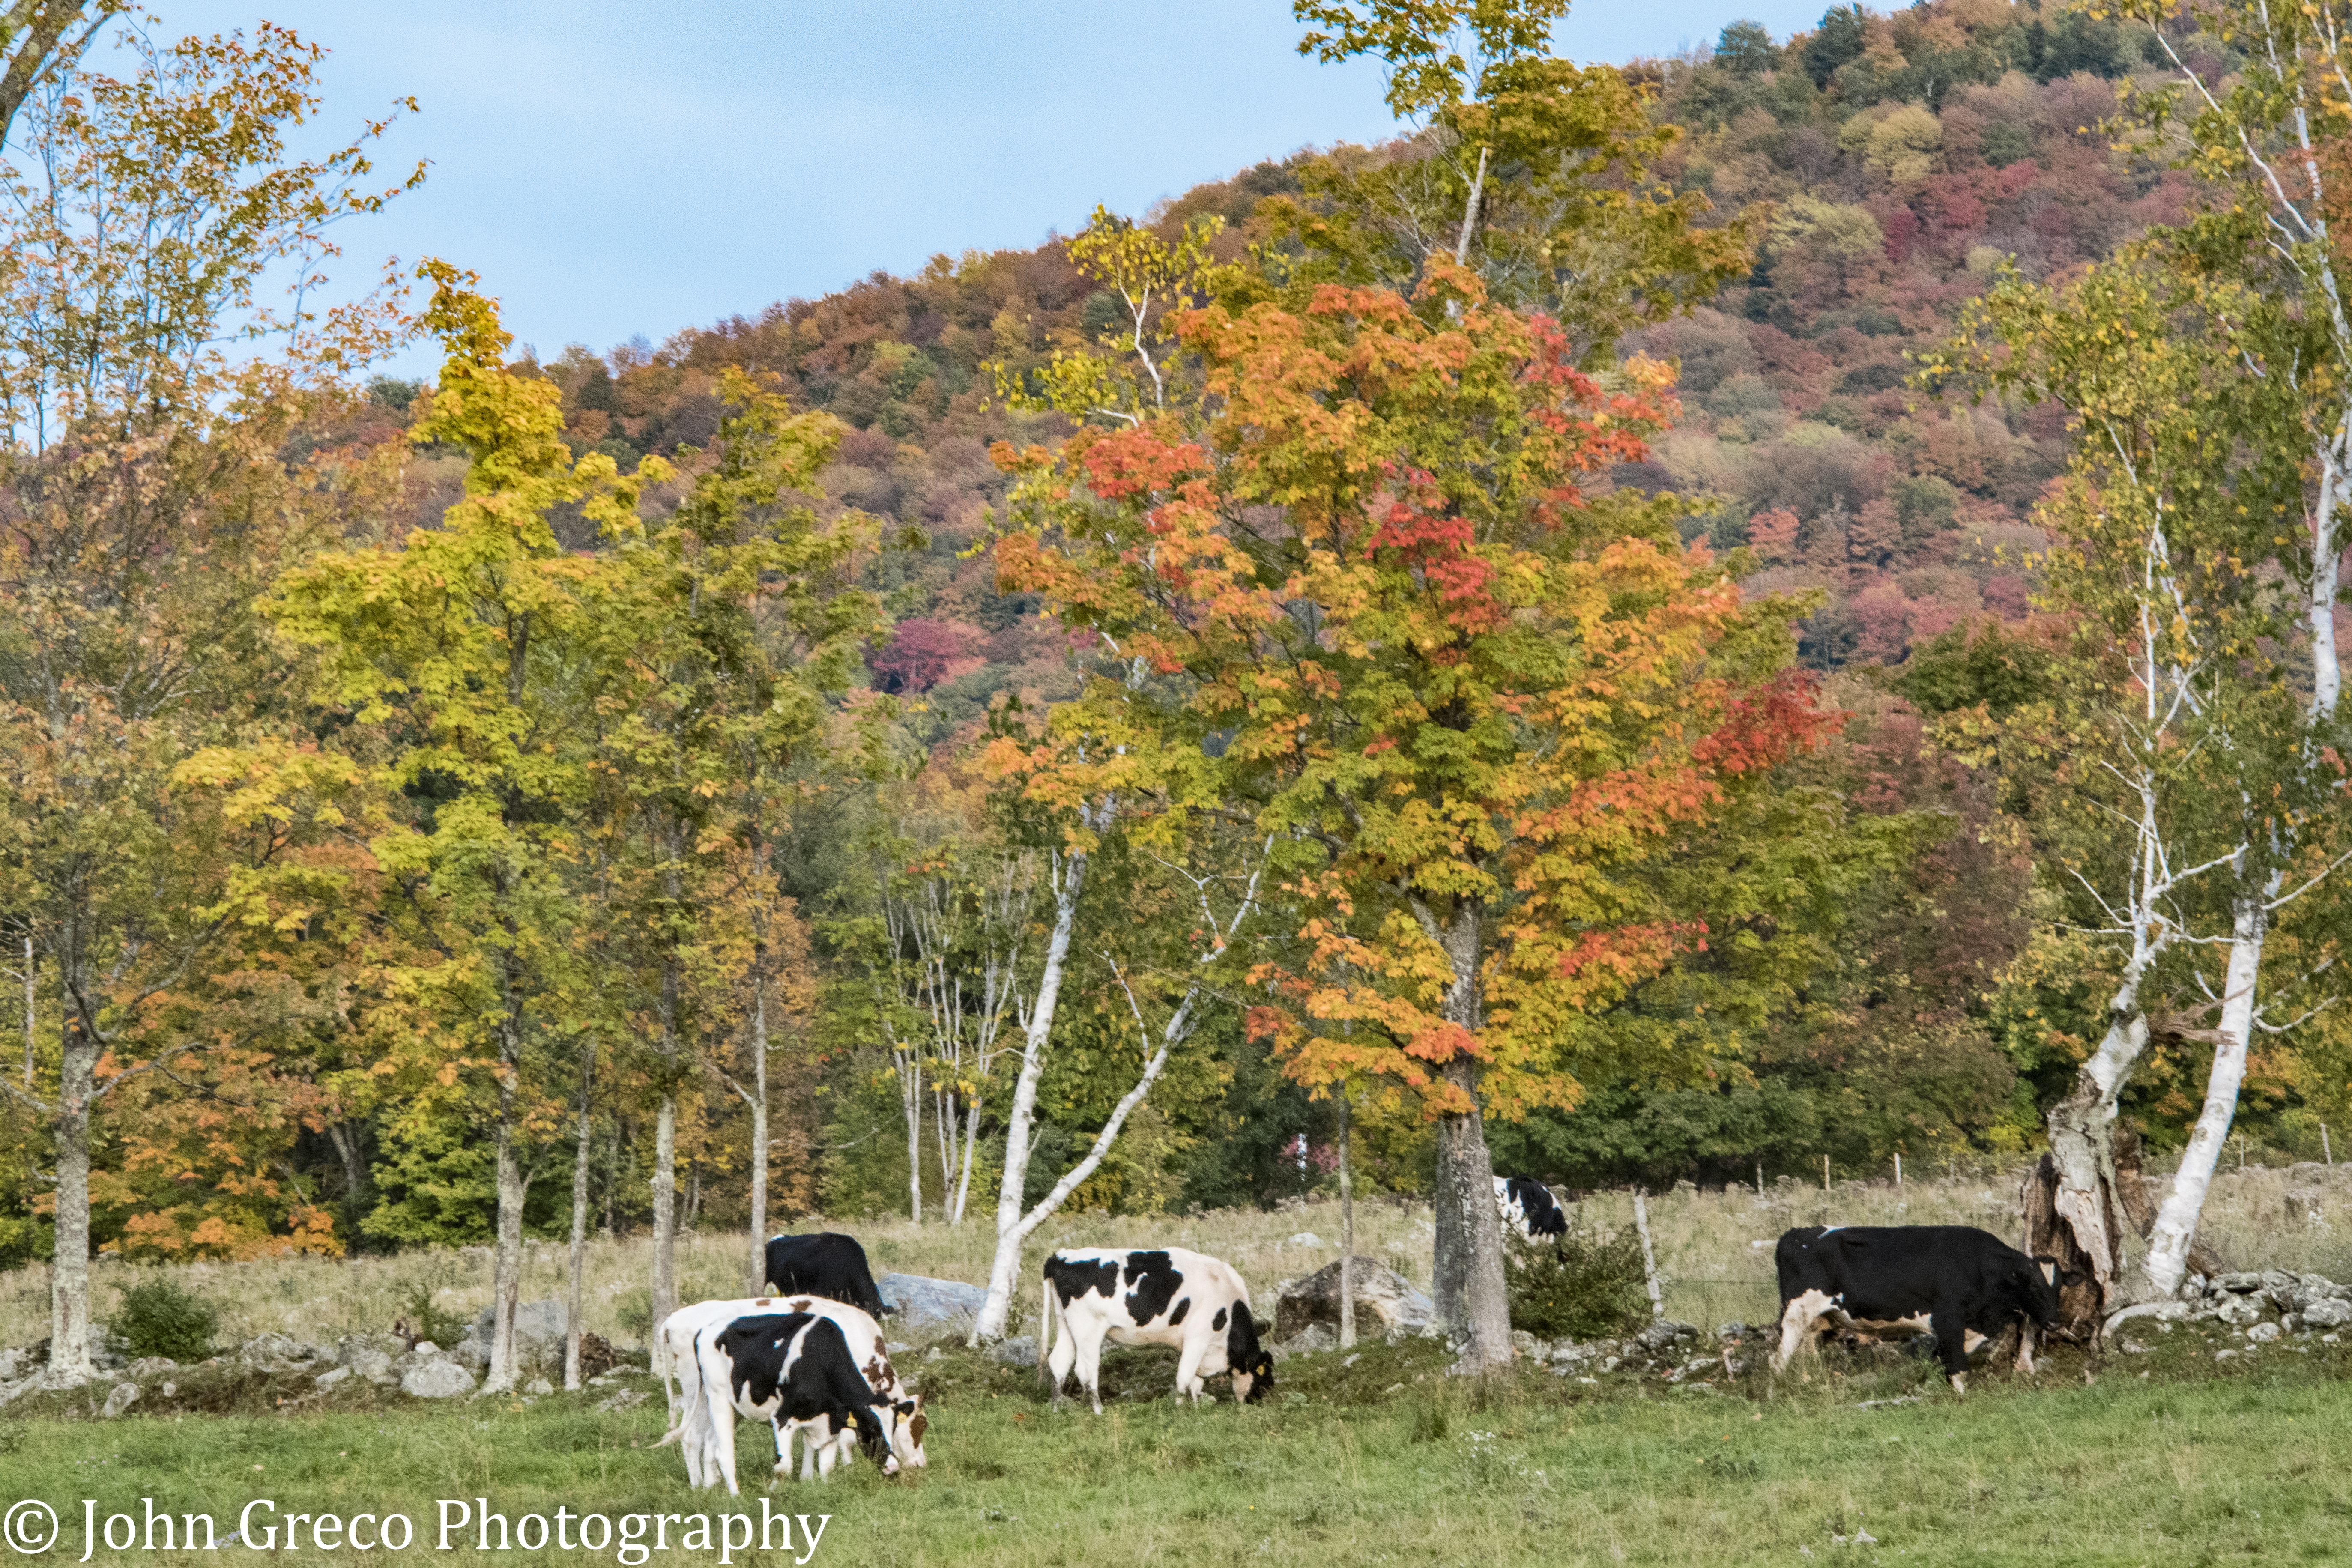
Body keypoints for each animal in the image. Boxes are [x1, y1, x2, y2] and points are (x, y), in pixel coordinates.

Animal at [656, 1295, 925, 1488]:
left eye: (896, 1425)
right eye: (918, 1429)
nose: (919, 1465)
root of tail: (672, 1320)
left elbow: (815, 1447)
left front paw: (809, 1480)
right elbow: (840, 1442)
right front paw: (846, 1467)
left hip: (730, 1404)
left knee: (709, 1439)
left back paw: (710, 1485)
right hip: (699, 1391)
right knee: (692, 1437)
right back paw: (700, 1486)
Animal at [1039, 1246, 1273, 1416]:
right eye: (1265, 1375)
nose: (1265, 1400)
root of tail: (1062, 1256)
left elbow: (1196, 1382)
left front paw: (1197, 1407)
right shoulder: (1198, 1337)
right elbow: (1185, 1376)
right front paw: (1179, 1408)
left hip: (1066, 1325)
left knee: (1059, 1362)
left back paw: (1056, 1408)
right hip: (1088, 1328)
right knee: (1086, 1371)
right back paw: (1098, 1410)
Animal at [1768, 1225, 2065, 1395]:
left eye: (2059, 1287)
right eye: (2032, 1285)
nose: (2054, 1322)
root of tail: (1794, 1233)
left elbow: (1943, 1361)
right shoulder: (1948, 1320)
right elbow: (1957, 1365)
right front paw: (1961, 1397)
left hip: (1815, 1322)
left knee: (1805, 1358)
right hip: (1795, 1315)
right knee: (1777, 1361)